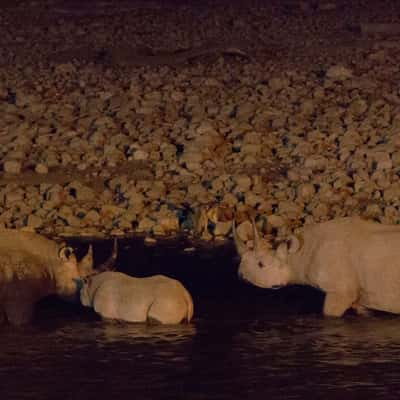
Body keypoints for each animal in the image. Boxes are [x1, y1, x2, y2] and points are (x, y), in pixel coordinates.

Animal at [233, 217, 400, 318]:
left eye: (261, 264)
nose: (241, 275)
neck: (297, 254)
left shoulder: (339, 291)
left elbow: (329, 312)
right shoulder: (358, 295)